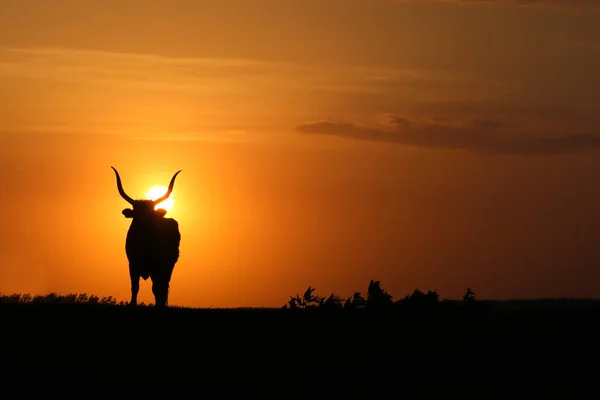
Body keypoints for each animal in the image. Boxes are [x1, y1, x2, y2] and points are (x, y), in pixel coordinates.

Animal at [110, 167, 180, 308]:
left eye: (151, 213)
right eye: (136, 214)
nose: (144, 223)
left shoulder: (157, 266)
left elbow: (157, 288)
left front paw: (159, 305)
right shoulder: (132, 264)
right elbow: (135, 286)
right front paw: (132, 304)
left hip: (168, 265)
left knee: (163, 285)